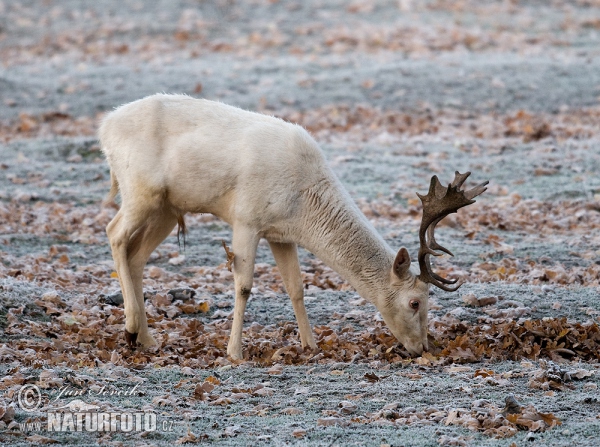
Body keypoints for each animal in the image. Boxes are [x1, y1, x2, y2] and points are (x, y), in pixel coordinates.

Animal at [101, 93, 488, 360]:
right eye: (415, 302)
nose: (422, 348)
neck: (303, 205)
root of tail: (105, 125)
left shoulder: (280, 235)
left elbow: (296, 287)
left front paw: (310, 344)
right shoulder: (246, 218)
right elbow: (244, 286)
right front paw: (234, 352)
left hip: (167, 210)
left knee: (136, 256)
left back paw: (146, 339)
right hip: (141, 190)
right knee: (114, 233)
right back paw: (131, 328)